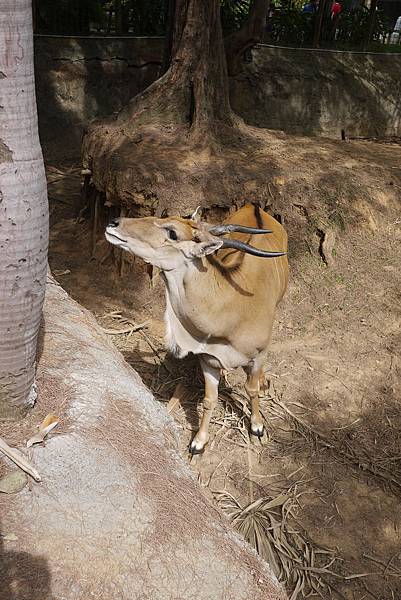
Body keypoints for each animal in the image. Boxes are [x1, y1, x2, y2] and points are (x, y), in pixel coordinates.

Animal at [105, 204, 288, 452]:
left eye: (172, 233)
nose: (114, 222)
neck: (231, 310)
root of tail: (255, 207)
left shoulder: (258, 355)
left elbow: (251, 390)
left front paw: (257, 426)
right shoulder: (208, 360)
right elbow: (209, 400)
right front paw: (199, 441)